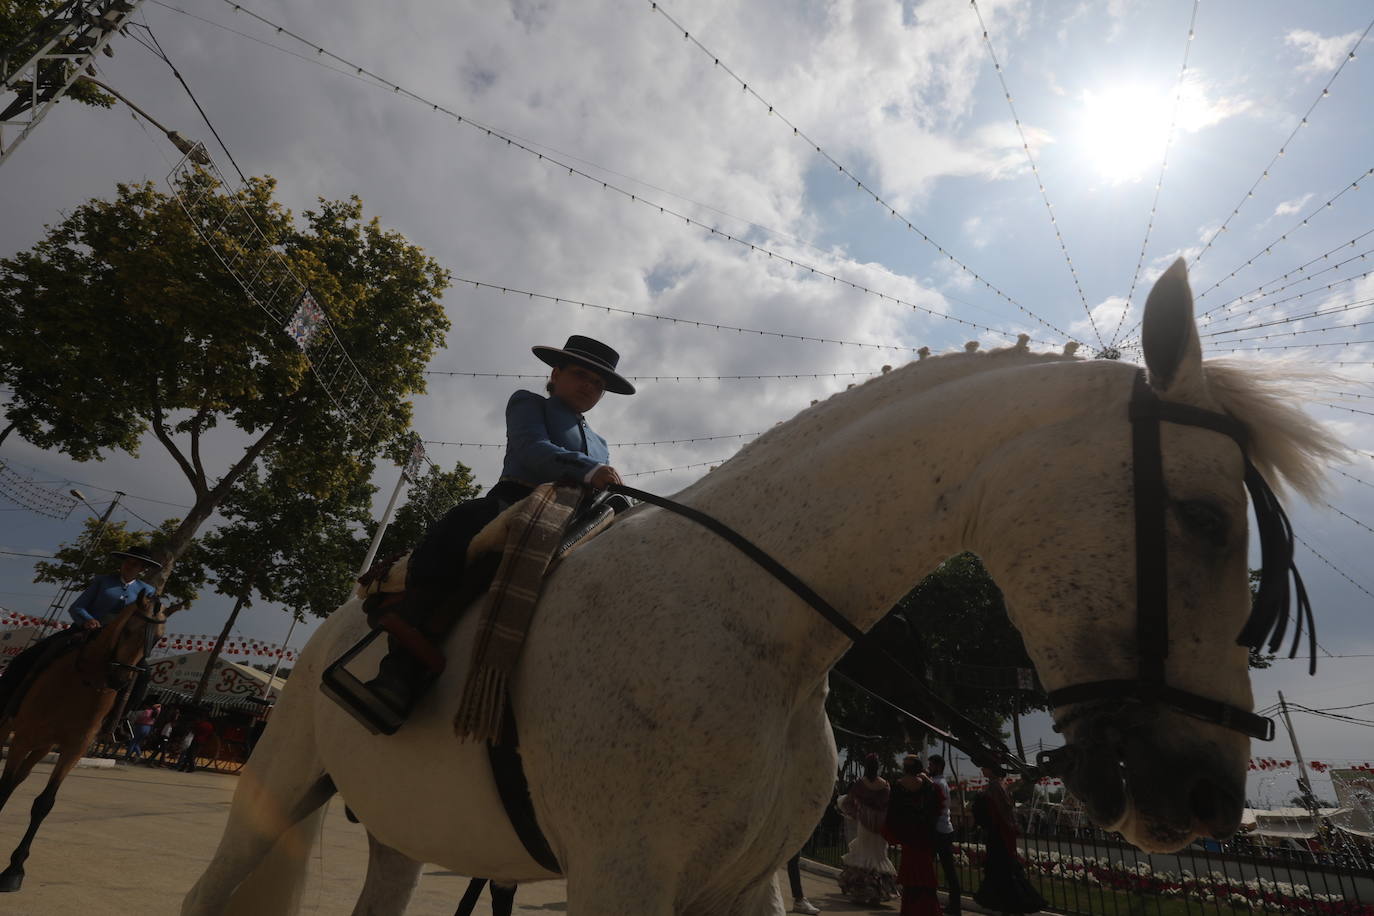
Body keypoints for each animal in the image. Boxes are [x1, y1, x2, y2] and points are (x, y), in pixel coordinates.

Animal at [0, 590, 182, 889]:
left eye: (158, 638)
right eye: (128, 629)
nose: (121, 679)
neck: (82, 682)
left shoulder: (74, 749)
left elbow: (44, 803)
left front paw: (15, 868)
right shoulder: (23, 737)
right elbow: (4, 786)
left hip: (43, 745)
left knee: (19, 779)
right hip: (10, 728)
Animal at [182, 259, 1341, 916]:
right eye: (1204, 517)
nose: (1211, 795)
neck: (754, 629)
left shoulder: (738, 887)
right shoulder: (622, 881)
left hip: (397, 835)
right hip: (275, 791)